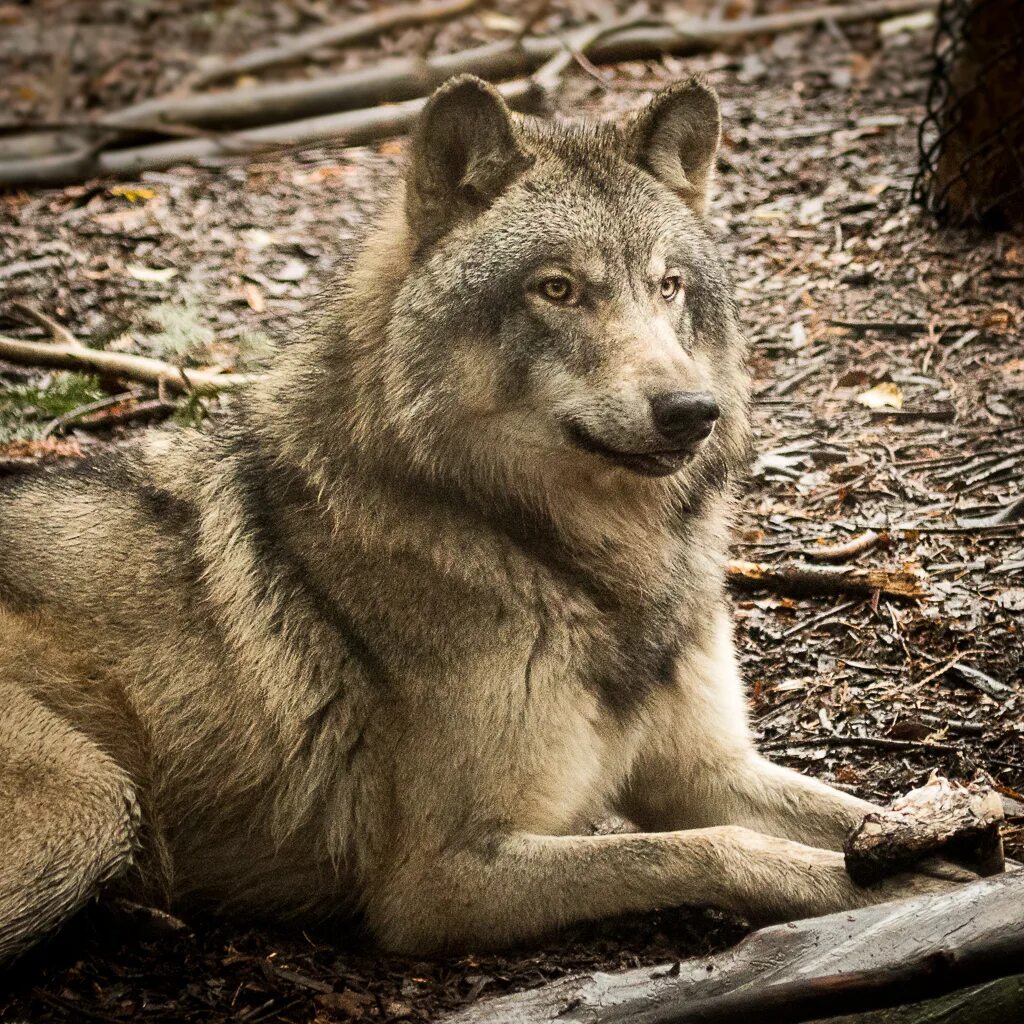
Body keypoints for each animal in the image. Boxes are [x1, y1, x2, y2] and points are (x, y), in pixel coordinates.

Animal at [0, 74, 966, 958]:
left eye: (669, 286)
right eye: (558, 289)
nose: (693, 411)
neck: (568, 561)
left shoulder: (704, 769)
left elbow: (850, 810)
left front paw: (953, 847)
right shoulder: (438, 882)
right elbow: (712, 849)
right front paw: (901, 884)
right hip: (92, 804)